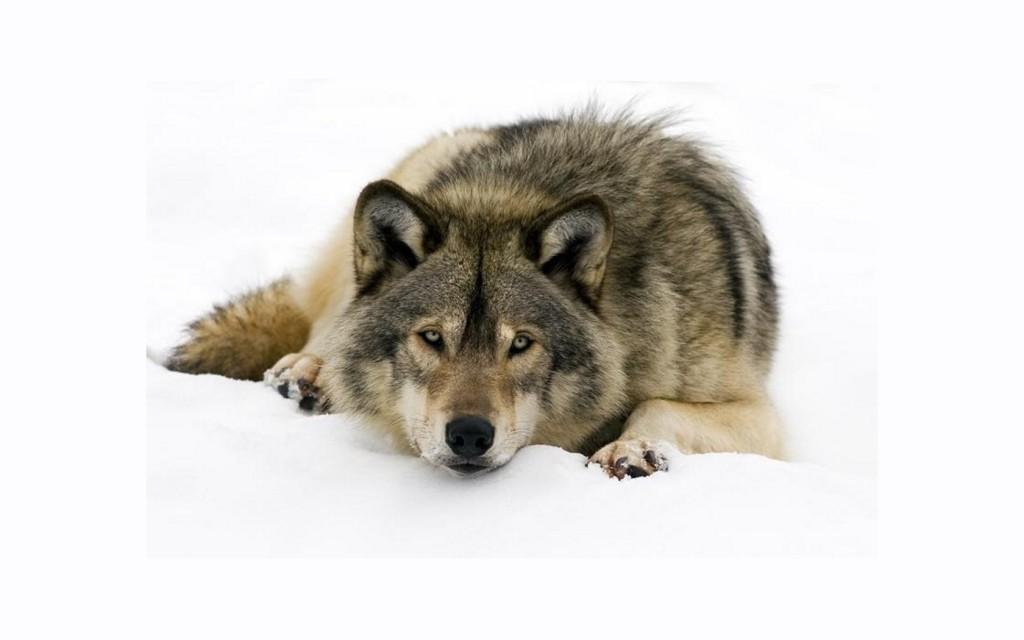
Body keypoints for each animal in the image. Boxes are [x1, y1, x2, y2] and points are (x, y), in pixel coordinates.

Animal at [166, 107, 783, 479]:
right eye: (432, 337)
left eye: (522, 344)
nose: (468, 435)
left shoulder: (763, 420)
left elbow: (654, 404)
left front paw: (630, 449)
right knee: (327, 321)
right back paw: (309, 372)